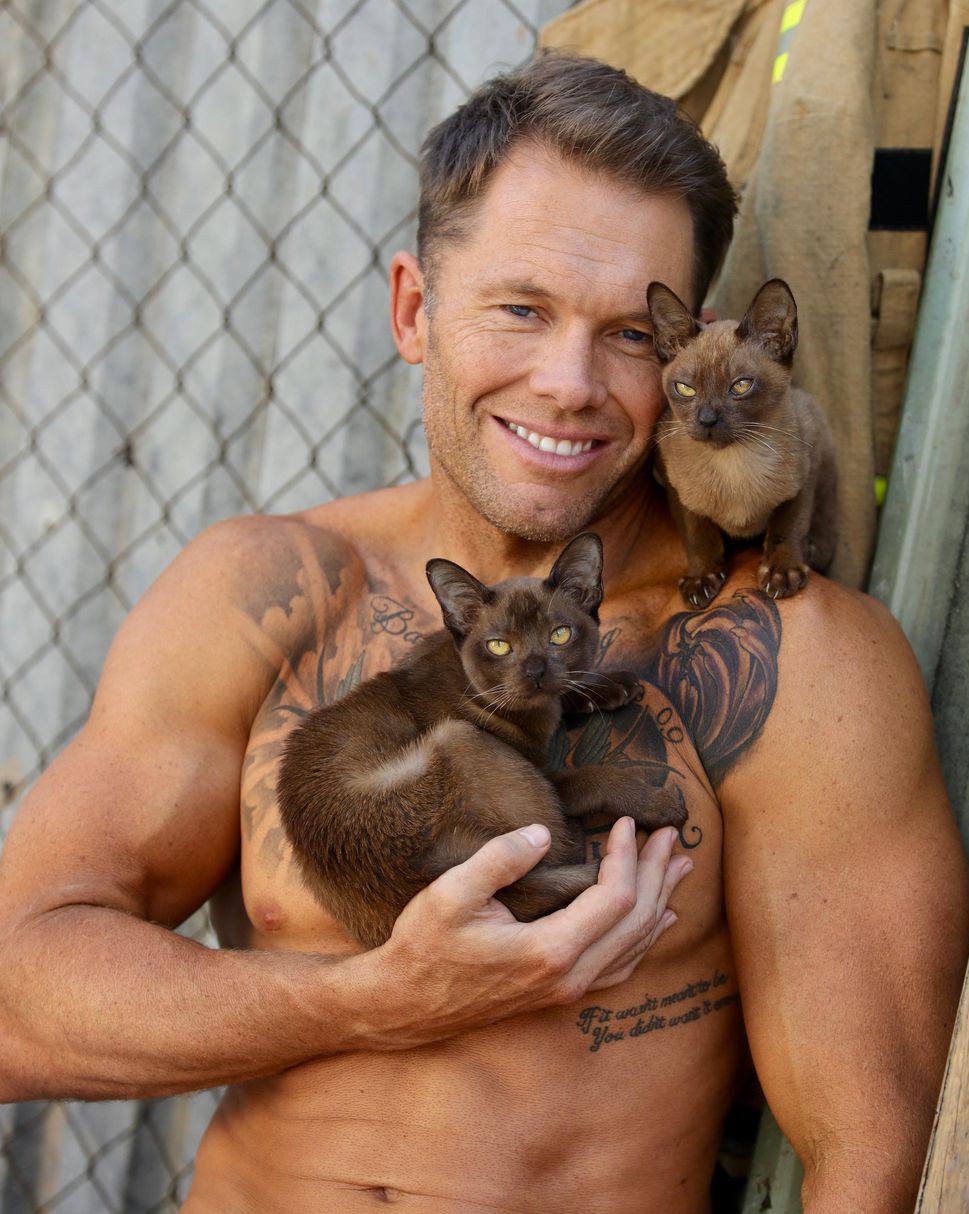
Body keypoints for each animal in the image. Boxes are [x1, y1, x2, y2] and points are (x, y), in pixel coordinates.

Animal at [276, 532, 686, 949]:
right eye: (499, 646)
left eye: (559, 635)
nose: (536, 672)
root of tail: (415, 878)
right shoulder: (542, 770)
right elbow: (596, 777)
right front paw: (662, 804)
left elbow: (569, 689)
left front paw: (615, 686)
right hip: (458, 735)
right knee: (563, 846)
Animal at [646, 278, 837, 608]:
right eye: (685, 389)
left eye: (741, 386)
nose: (707, 420)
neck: (733, 466)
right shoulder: (675, 490)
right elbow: (698, 535)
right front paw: (702, 579)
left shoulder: (805, 476)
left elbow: (788, 527)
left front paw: (782, 573)